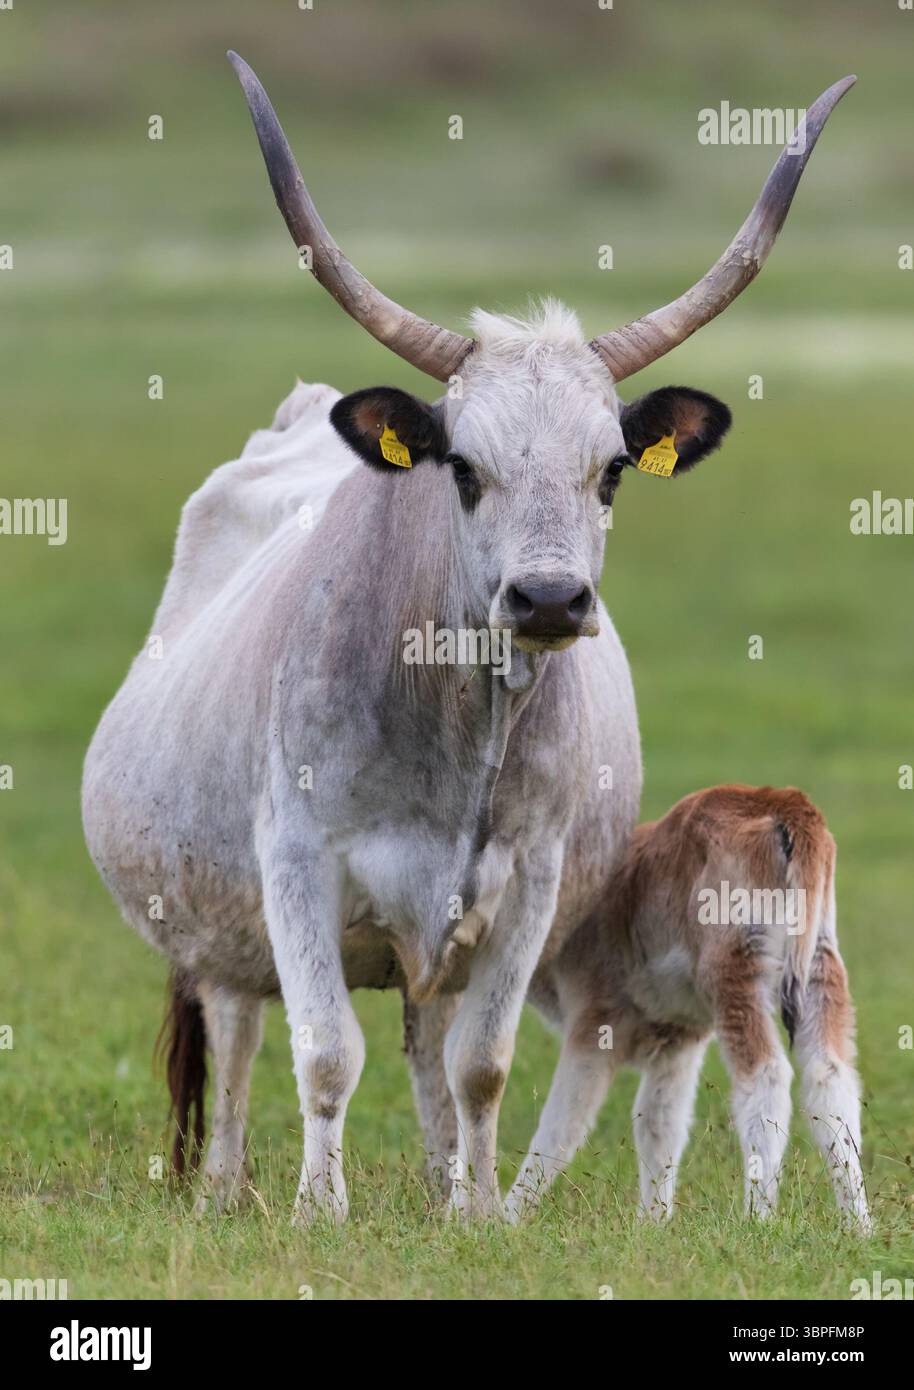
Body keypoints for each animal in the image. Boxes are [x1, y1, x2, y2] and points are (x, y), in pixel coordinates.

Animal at [505, 785, 871, 1232]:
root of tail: (786, 802)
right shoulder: (678, 1039)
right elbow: (659, 1123)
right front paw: (652, 1224)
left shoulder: (595, 1022)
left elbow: (562, 1123)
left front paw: (502, 1219)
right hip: (822, 967)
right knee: (831, 1079)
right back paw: (860, 1227)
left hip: (735, 967)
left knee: (766, 1078)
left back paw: (757, 1220)